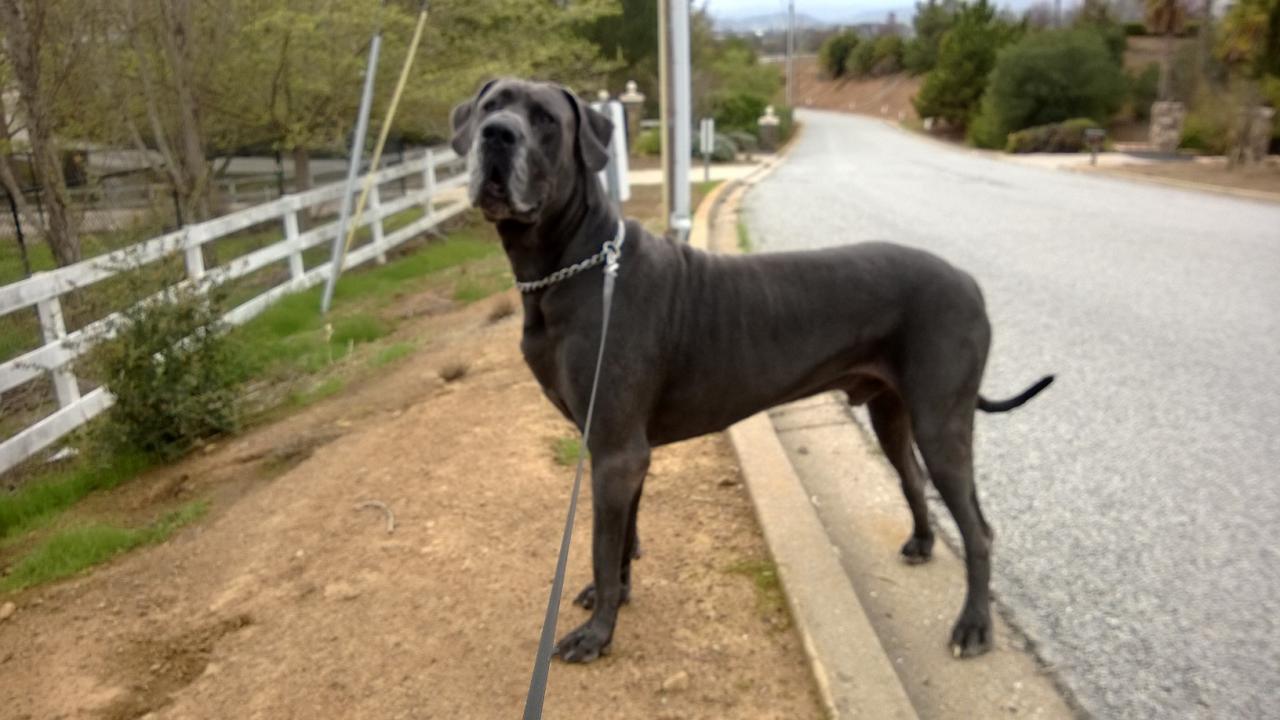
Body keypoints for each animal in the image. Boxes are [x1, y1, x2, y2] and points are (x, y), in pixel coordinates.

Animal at [449, 78, 1053, 663]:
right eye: (490, 106)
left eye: (545, 119)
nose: (497, 135)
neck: (577, 263)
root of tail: (969, 282)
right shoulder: (619, 449)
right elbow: (622, 539)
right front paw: (612, 598)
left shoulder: (617, 448)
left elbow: (602, 543)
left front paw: (596, 635)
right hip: (892, 410)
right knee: (913, 477)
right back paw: (924, 544)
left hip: (940, 420)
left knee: (978, 530)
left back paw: (973, 627)